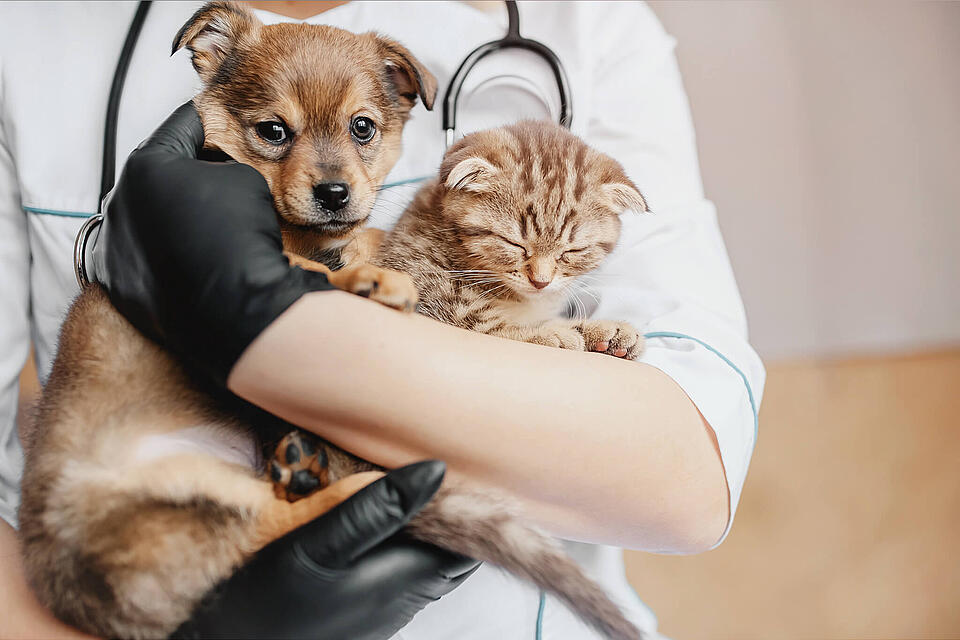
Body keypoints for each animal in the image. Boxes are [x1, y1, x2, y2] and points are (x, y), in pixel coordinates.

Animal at [376, 120, 652, 360]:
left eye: (571, 252)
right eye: (514, 244)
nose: (540, 282)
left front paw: (603, 331)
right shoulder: (427, 292)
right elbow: (490, 330)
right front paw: (553, 334)